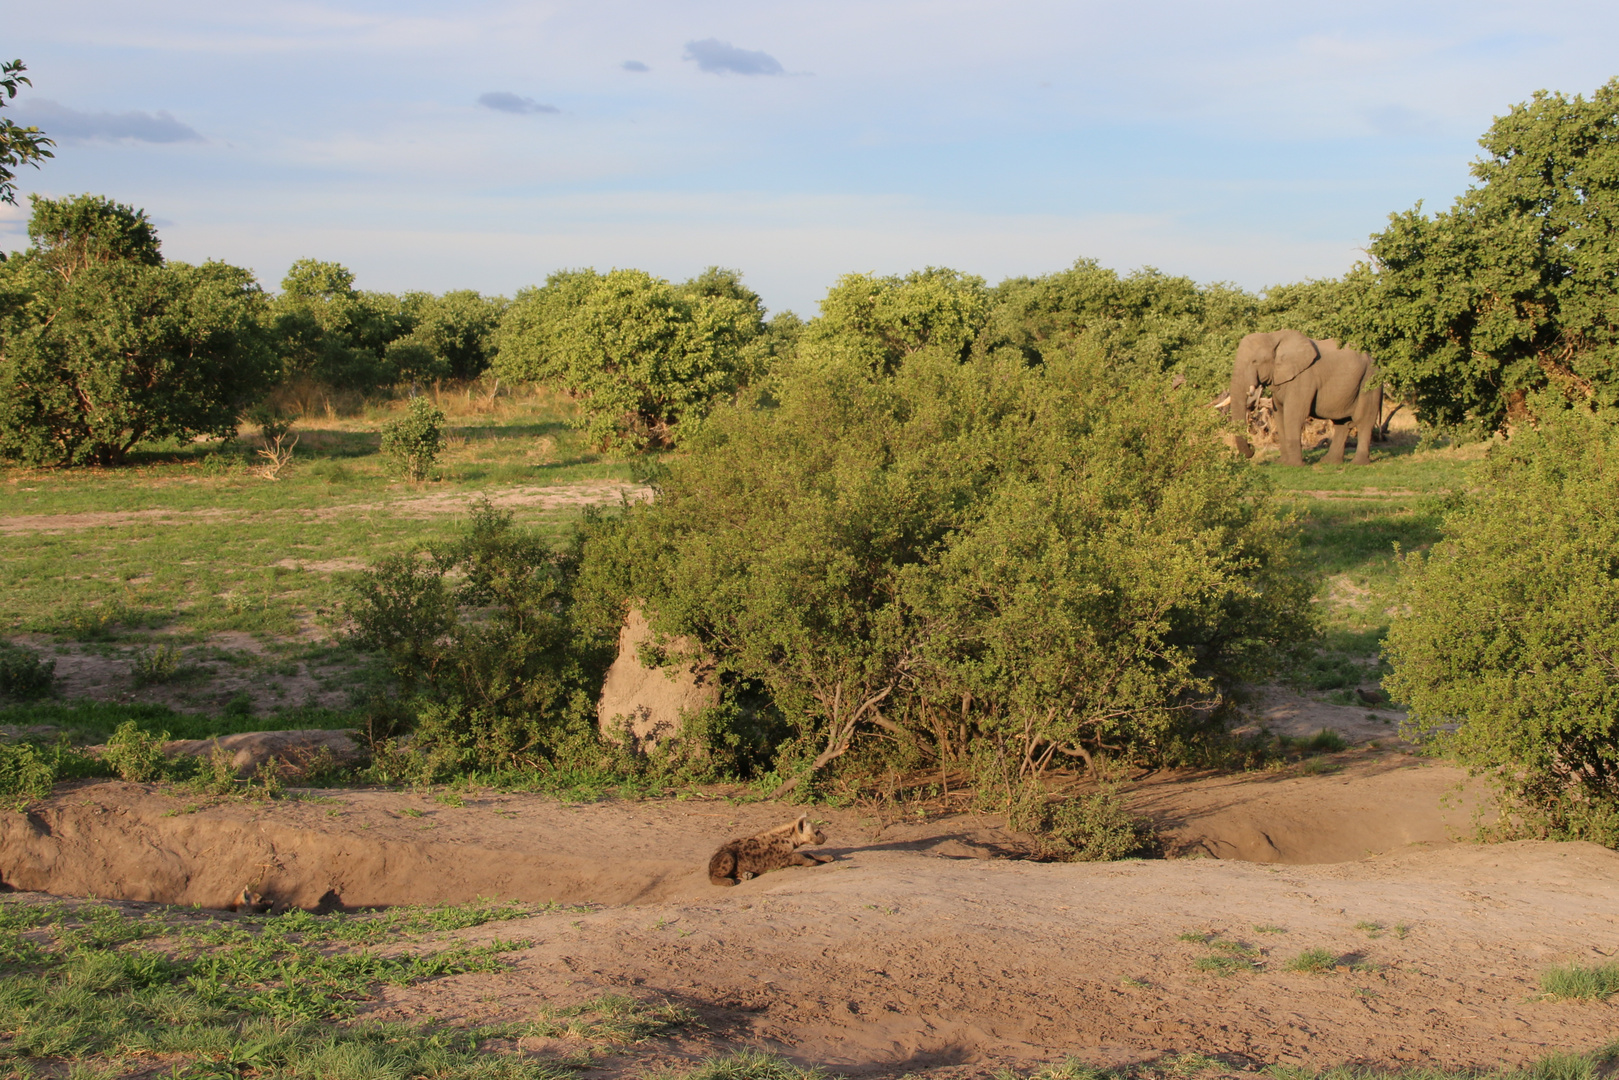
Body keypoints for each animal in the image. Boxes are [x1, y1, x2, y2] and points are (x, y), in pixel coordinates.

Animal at [1230, 330, 1385, 466]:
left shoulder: (1303, 378)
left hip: (1369, 382)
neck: (1272, 337)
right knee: (1342, 423)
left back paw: (1358, 463)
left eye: (1255, 361)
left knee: (1364, 420)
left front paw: (1294, 466)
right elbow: (1279, 414)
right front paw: (1282, 463)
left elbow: (1293, 414)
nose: (1252, 446)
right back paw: (1329, 462)